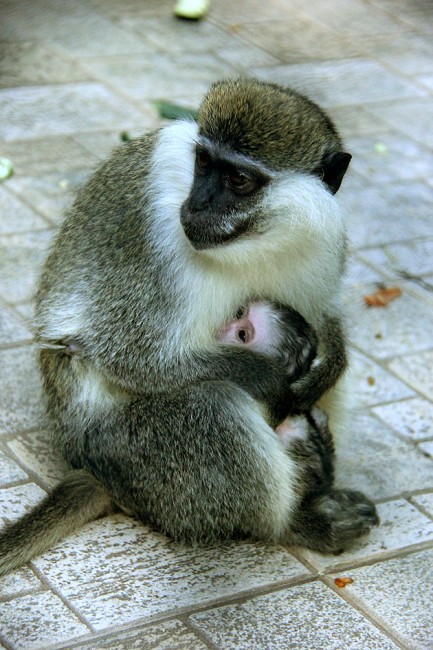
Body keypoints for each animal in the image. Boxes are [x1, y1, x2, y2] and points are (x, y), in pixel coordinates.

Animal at [0, 78, 376, 576]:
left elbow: (320, 315)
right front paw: (270, 381)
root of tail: (99, 473)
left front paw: (331, 358)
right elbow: (131, 353)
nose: (198, 204)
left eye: (239, 180)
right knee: (214, 408)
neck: (256, 239)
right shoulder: (150, 236)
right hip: (122, 452)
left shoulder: (325, 234)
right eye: (203, 163)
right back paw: (294, 524)